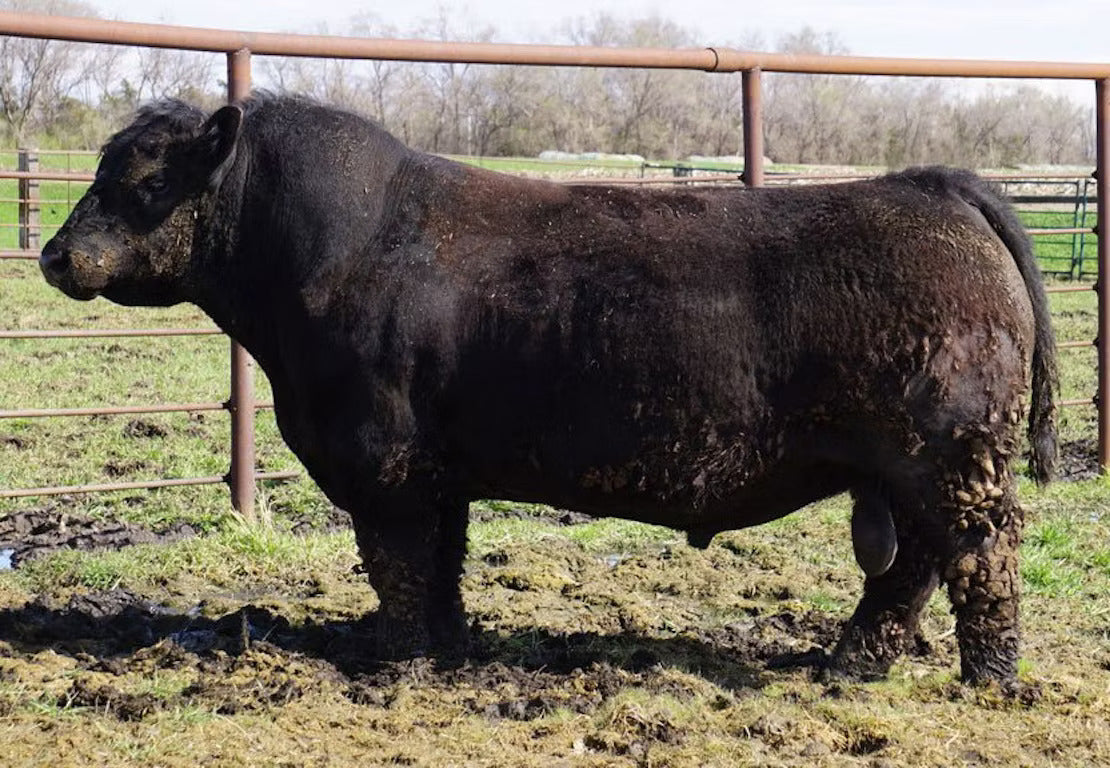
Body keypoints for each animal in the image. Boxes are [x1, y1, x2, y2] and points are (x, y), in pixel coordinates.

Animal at [40, 93, 1057, 689]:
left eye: (144, 178)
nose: (55, 254)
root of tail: (934, 189)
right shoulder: (436, 474)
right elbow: (440, 564)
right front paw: (446, 646)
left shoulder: (384, 465)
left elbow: (398, 565)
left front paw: (393, 658)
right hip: (914, 470)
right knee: (913, 570)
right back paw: (850, 663)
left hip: (951, 459)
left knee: (981, 557)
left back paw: (990, 677)